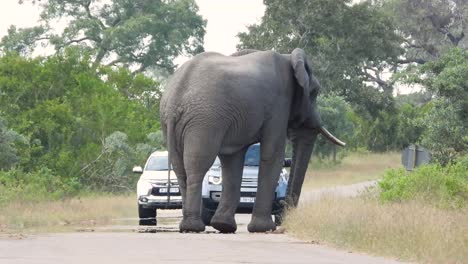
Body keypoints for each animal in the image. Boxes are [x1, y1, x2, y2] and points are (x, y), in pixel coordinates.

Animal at [159, 47, 346, 233]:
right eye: (314, 92)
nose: (284, 220)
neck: (289, 58)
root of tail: (175, 97)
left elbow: (232, 161)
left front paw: (224, 226)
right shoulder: (278, 105)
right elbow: (273, 155)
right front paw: (263, 228)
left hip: (172, 122)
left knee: (180, 168)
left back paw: (188, 226)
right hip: (204, 120)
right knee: (198, 165)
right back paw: (194, 227)